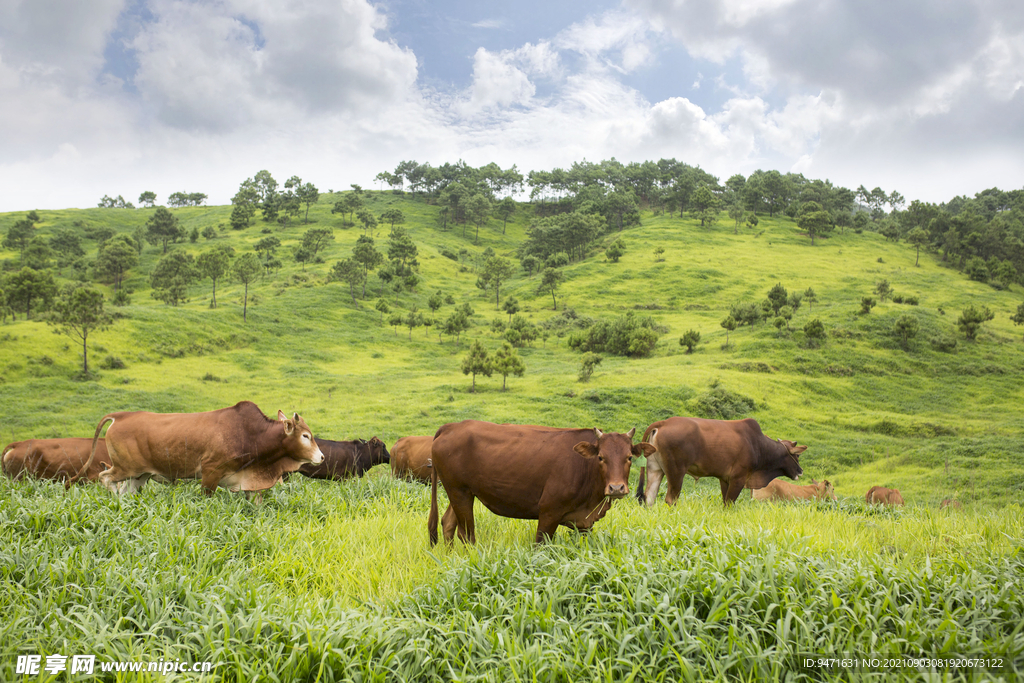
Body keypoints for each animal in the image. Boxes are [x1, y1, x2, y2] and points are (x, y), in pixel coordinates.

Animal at [67, 401, 321, 497]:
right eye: (305, 436)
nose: (321, 456)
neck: (250, 435)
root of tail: (120, 416)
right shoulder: (210, 473)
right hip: (125, 469)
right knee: (105, 477)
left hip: (140, 476)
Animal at [425, 421, 655, 544]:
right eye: (601, 457)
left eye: (629, 457)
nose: (616, 488)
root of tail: (452, 426)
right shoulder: (549, 513)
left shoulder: (584, 523)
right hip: (459, 492)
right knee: (466, 534)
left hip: (462, 492)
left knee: (447, 523)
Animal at [630, 417, 806, 507]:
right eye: (796, 456)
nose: (800, 471)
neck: (758, 445)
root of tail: (663, 422)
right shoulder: (738, 479)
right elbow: (729, 503)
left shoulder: (724, 479)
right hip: (676, 472)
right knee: (670, 499)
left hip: (655, 469)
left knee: (649, 497)